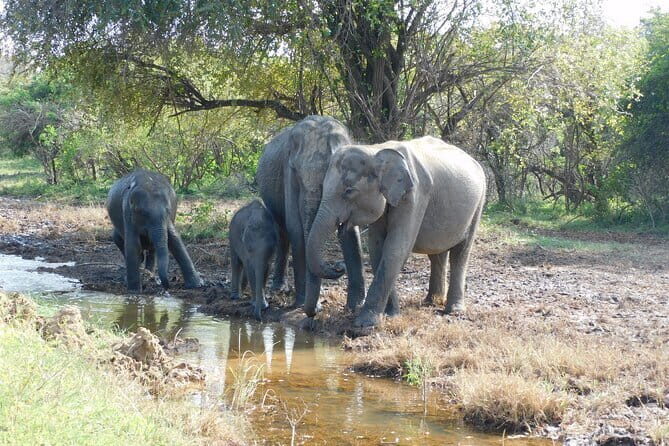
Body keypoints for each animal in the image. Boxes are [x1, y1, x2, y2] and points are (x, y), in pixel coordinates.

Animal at [256, 115, 365, 315]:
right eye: (298, 178)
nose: (339, 266)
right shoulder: (288, 172)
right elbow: (296, 229)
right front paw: (302, 304)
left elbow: (351, 232)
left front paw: (356, 307)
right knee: (282, 230)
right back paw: (279, 289)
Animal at [306, 136, 486, 327]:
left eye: (349, 191)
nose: (339, 266)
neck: (375, 150)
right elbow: (377, 247)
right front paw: (391, 315)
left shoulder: (415, 195)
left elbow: (396, 247)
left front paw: (364, 325)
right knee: (437, 253)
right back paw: (431, 301)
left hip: (479, 202)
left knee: (460, 253)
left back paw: (453, 310)